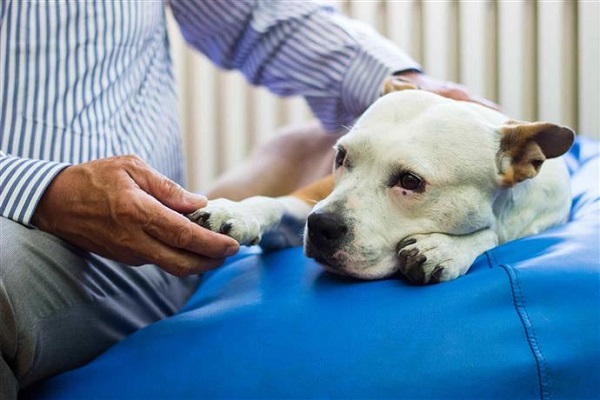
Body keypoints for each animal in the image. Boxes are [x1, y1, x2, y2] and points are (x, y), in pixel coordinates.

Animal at [190, 83, 576, 284]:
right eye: (341, 156)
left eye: (410, 181)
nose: (322, 225)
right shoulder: (310, 198)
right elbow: (273, 203)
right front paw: (235, 214)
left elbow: (494, 233)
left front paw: (446, 248)